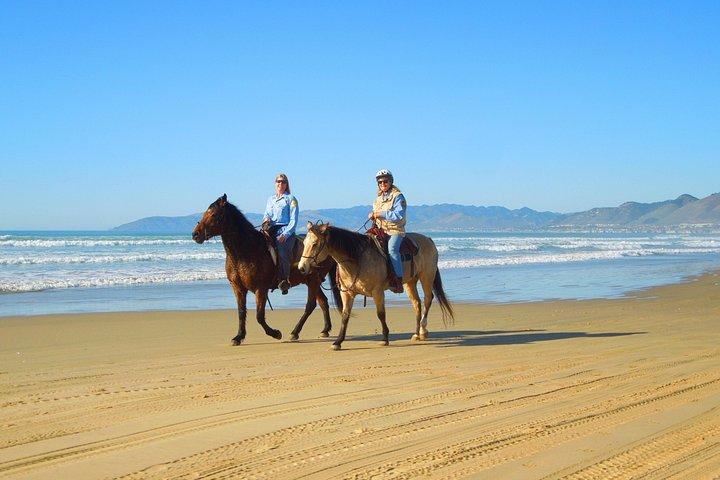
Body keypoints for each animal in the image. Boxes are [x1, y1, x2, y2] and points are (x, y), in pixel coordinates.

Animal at [192, 195, 342, 345]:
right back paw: (324, 330)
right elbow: (241, 312)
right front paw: (239, 336)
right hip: (310, 281)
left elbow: (259, 316)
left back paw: (295, 332)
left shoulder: (261, 288)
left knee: (310, 305)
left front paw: (275, 333)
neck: (246, 250)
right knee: (323, 302)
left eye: (213, 214)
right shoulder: (238, 287)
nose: (195, 234)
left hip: (313, 280)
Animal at [297, 221, 453, 350]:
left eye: (315, 243)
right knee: (416, 303)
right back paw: (416, 334)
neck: (357, 259)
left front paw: (384, 338)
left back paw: (423, 330)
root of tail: (428, 239)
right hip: (410, 282)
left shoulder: (377, 292)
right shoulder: (347, 293)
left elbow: (380, 314)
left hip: (426, 276)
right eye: (304, 243)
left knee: (428, 299)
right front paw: (338, 342)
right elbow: (345, 316)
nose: (301, 267)